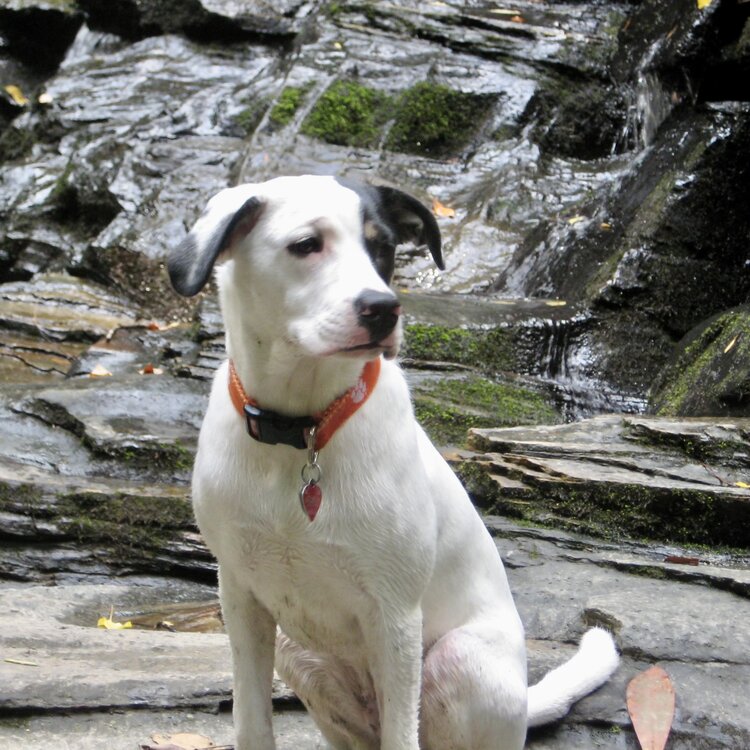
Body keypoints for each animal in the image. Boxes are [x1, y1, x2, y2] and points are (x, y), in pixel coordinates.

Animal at [170, 178, 624, 750]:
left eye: (383, 247)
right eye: (305, 245)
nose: (384, 309)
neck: (301, 433)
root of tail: (524, 703)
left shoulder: (394, 615)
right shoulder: (240, 595)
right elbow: (251, 723)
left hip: (458, 661)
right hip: (301, 655)